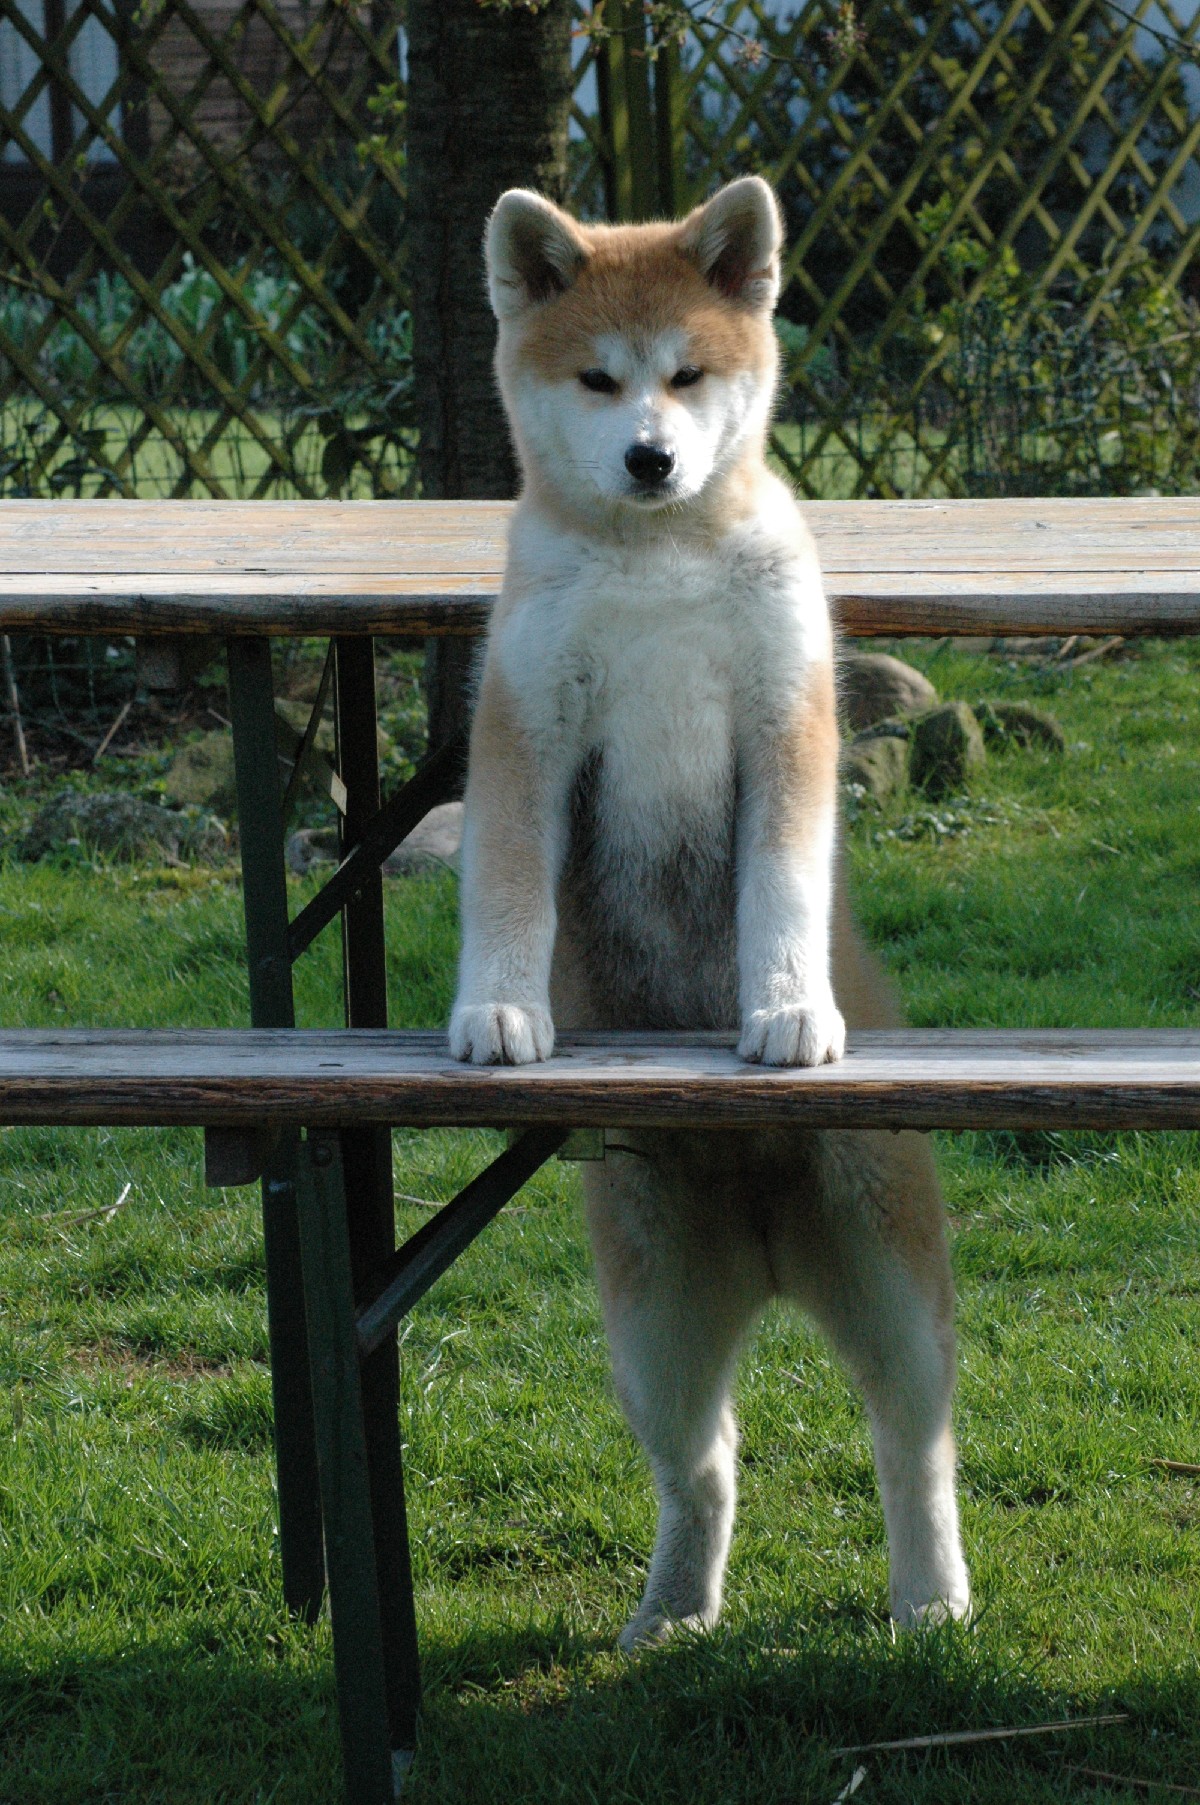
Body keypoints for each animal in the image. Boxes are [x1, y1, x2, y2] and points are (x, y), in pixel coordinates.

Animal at [449, 176, 970, 1649]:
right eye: (598, 378)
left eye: (686, 376)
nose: (648, 459)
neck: (656, 564)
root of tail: (765, 1236)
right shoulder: (527, 729)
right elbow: (505, 888)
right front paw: (496, 1009)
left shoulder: (783, 725)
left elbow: (778, 889)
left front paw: (787, 1008)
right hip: (655, 1321)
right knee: (705, 1465)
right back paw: (673, 1612)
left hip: (885, 1260)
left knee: (913, 1441)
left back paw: (932, 1596)